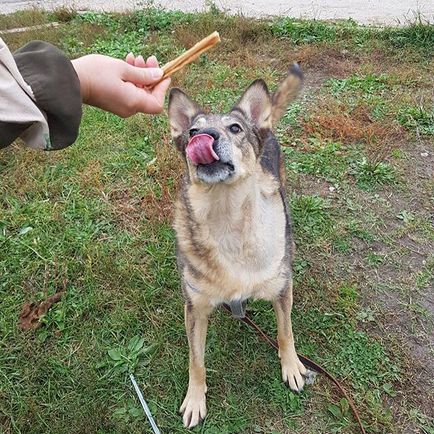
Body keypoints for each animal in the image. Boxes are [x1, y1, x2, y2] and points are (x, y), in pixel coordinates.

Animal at [168, 64, 306, 428]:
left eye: (235, 128)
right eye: (191, 131)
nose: (204, 137)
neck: (227, 218)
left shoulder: (282, 288)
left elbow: (286, 332)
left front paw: (292, 367)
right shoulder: (195, 307)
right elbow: (196, 360)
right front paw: (195, 399)